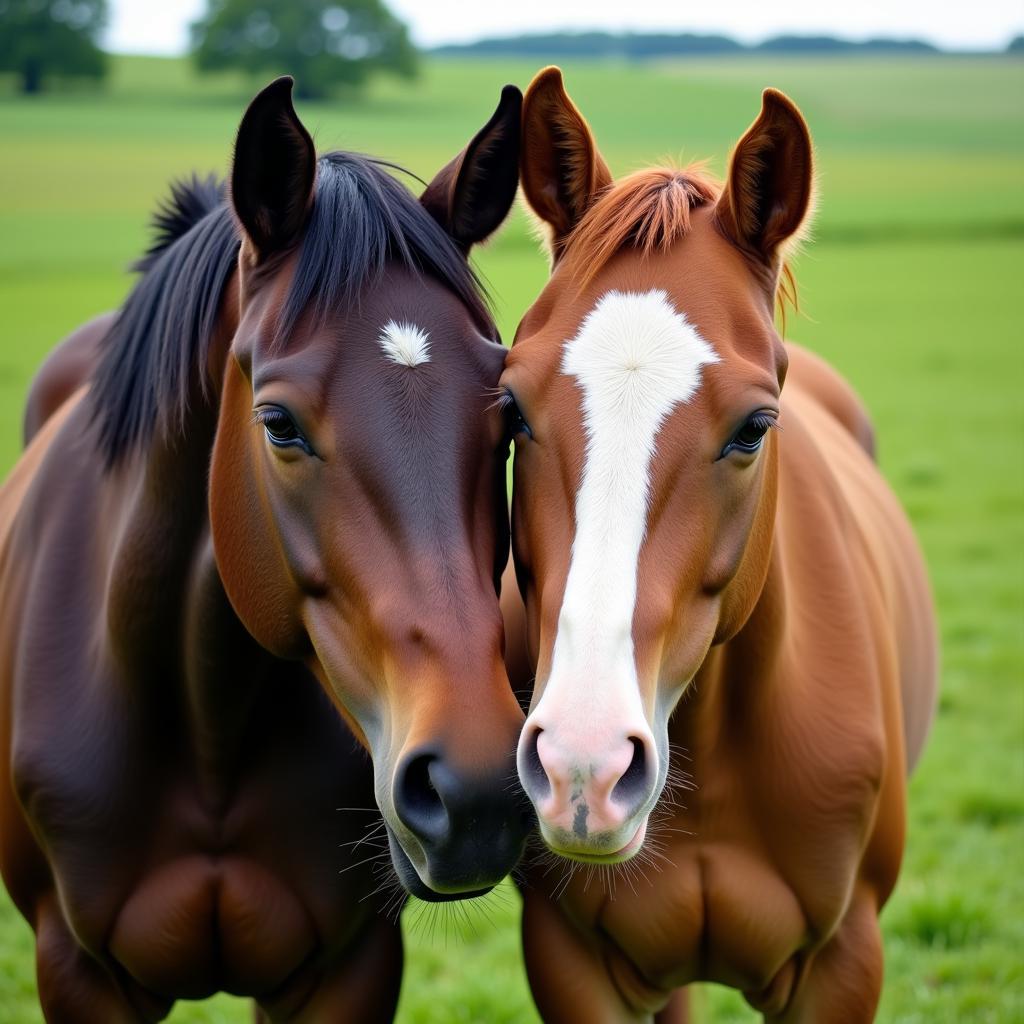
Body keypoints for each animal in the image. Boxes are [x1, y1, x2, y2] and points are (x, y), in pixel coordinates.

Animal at [0, 75, 528, 1019]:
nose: (475, 793)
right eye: (278, 423)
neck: (206, 725)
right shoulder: (76, 970)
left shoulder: (349, 967)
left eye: (506, 415)